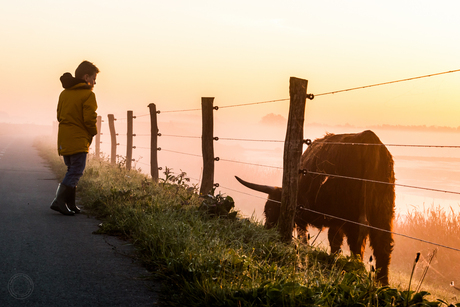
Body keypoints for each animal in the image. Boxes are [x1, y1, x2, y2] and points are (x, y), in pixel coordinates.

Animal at [237, 130, 396, 286]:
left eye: (269, 210)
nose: (267, 232)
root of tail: (368, 137)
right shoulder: (334, 220)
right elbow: (334, 241)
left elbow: (305, 237)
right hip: (383, 212)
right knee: (383, 244)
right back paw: (382, 283)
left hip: (355, 214)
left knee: (358, 242)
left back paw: (357, 272)